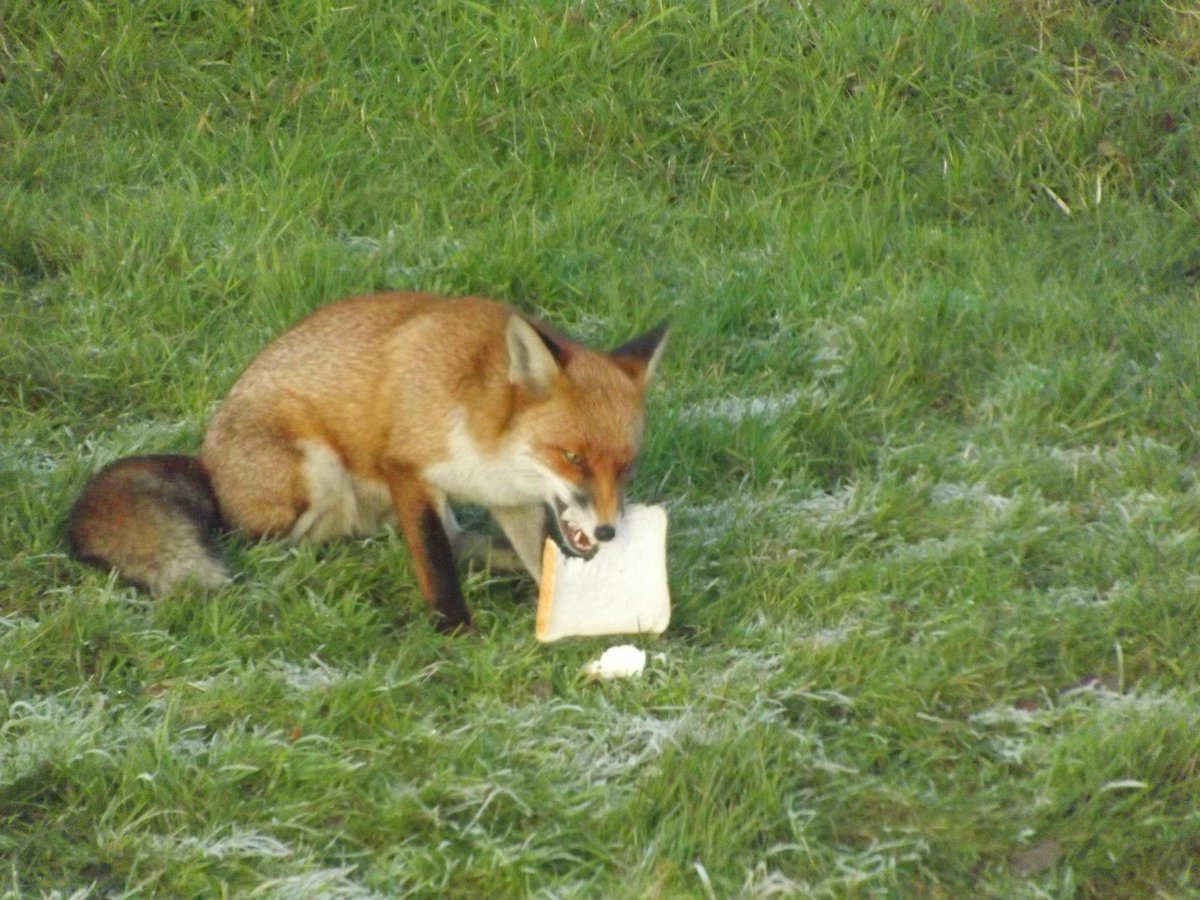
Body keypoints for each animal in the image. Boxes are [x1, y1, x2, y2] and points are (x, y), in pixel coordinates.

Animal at [67, 292, 668, 632]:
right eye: (572, 457)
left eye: (628, 467)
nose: (609, 532)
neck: (488, 438)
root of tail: (206, 466)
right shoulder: (407, 469)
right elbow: (435, 562)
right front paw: (456, 631)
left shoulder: (512, 502)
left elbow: (534, 558)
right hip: (316, 470)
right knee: (270, 546)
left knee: (460, 540)